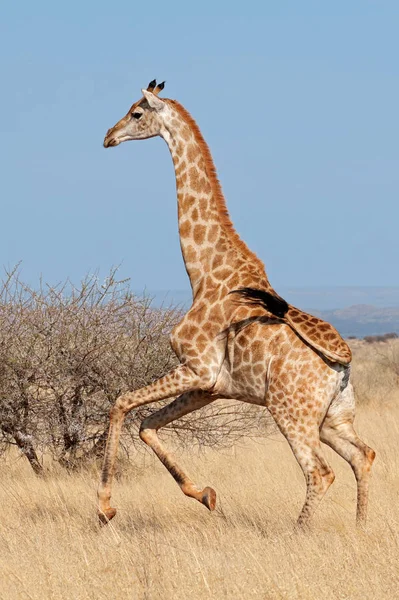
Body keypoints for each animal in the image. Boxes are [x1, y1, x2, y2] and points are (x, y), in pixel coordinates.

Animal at [99, 79, 376, 524]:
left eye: (136, 113)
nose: (108, 136)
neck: (203, 272)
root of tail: (343, 361)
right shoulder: (211, 387)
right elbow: (147, 424)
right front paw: (206, 494)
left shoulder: (196, 368)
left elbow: (121, 403)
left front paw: (105, 507)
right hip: (333, 417)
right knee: (362, 456)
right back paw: (359, 528)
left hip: (291, 413)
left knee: (320, 472)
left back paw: (296, 533)